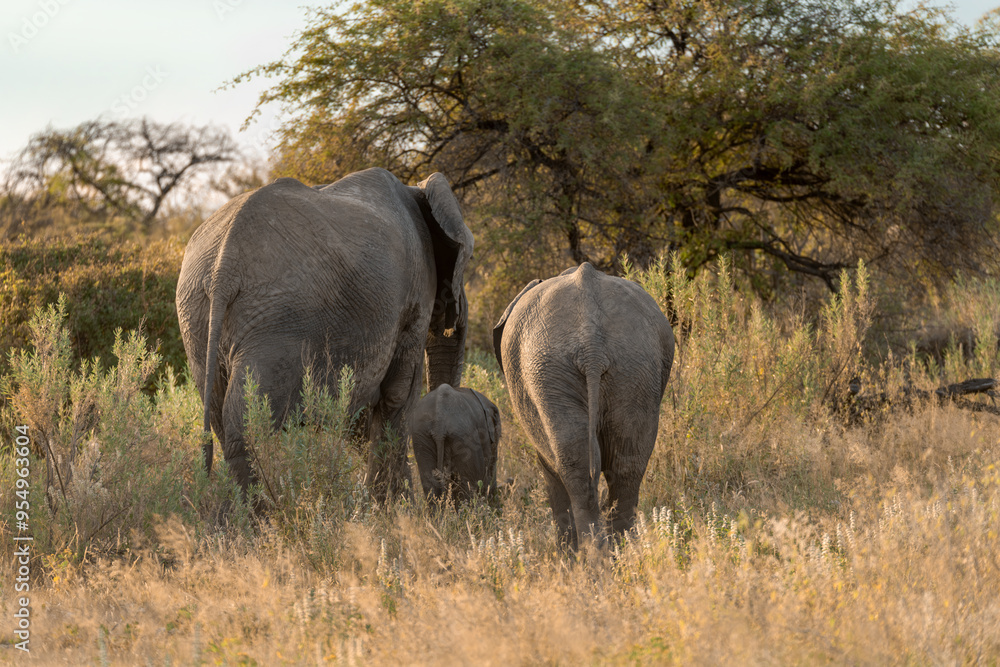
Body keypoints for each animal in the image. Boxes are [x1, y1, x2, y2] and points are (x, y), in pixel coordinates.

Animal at [175, 168, 473, 501]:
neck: (416, 189)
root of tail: (222, 269)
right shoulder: (416, 294)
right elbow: (398, 394)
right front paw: (397, 506)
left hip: (197, 315)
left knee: (218, 412)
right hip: (278, 322)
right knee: (247, 422)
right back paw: (266, 508)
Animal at [492, 262, 675, 549]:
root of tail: (592, 344)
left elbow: (548, 466)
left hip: (551, 368)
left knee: (577, 467)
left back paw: (593, 557)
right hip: (635, 364)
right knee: (626, 462)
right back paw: (621, 553)